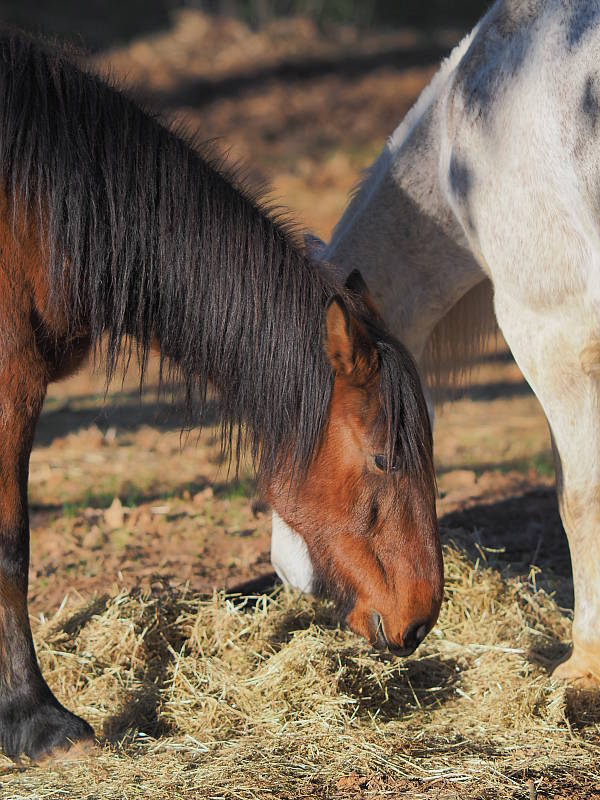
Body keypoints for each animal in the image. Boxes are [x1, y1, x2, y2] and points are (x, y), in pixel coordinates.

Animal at [0, 31, 440, 761]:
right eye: (383, 458)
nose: (422, 617)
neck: (34, 209)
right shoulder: (12, 383)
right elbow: (12, 544)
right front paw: (35, 720)